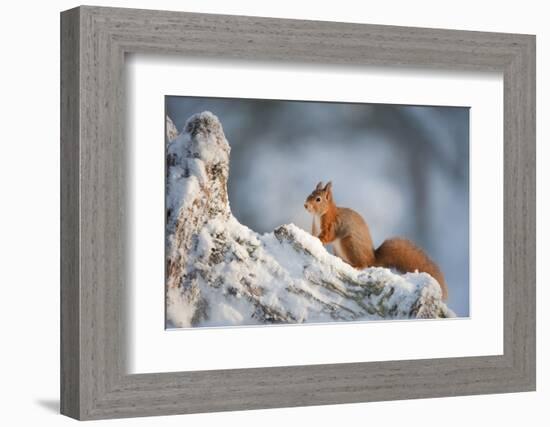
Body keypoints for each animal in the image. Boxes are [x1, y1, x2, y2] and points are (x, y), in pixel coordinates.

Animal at [306, 181, 448, 300]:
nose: (305, 205)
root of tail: (372, 259)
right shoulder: (315, 228)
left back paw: (357, 266)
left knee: (363, 264)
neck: (320, 215)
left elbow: (327, 236)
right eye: (310, 194)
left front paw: (318, 239)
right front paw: (311, 237)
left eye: (318, 199)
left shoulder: (332, 226)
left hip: (350, 244)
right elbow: (313, 234)